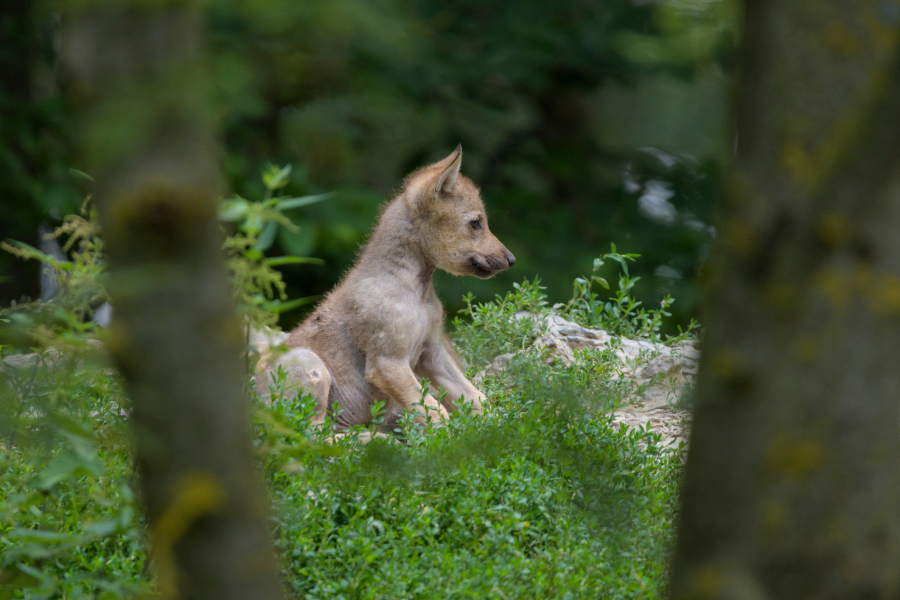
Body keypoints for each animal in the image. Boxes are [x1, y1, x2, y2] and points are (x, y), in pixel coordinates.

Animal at [256, 145, 515, 433]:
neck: (416, 292)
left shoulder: (433, 354)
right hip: (313, 371)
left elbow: (476, 397)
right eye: (475, 223)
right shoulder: (387, 362)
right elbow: (435, 413)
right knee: (309, 435)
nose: (511, 259)